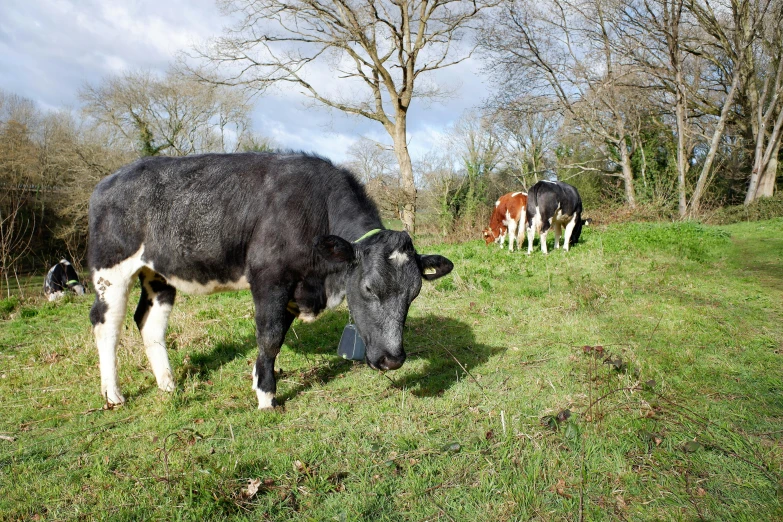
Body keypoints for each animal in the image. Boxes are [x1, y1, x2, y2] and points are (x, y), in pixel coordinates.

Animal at [89, 152, 454, 408]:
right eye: (368, 287)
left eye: (414, 293)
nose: (393, 360)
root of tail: (110, 179)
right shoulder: (269, 278)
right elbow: (270, 337)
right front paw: (266, 395)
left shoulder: (295, 289)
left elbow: (275, 339)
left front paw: (259, 378)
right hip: (110, 269)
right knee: (106, 323)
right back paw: (113, 394)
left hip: (158, 274)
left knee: (149, 322)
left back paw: (168, 383)